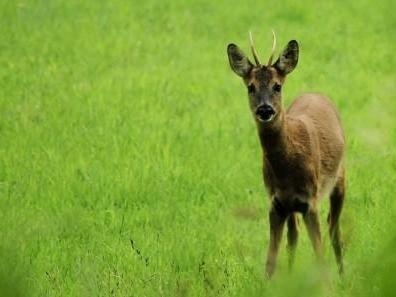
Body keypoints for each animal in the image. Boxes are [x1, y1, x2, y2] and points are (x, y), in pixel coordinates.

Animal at [227, 31, 344, 276]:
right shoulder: (276, 203)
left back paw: (343, 275)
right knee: (294, 236)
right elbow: (270, 262)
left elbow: (320, 257)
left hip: (340, 179)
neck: (288, 169)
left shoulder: (310, 202)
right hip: (292, 208)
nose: (265, 109)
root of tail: (316, 94)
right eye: (250, 87)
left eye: (277, 86)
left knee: (334, 228)